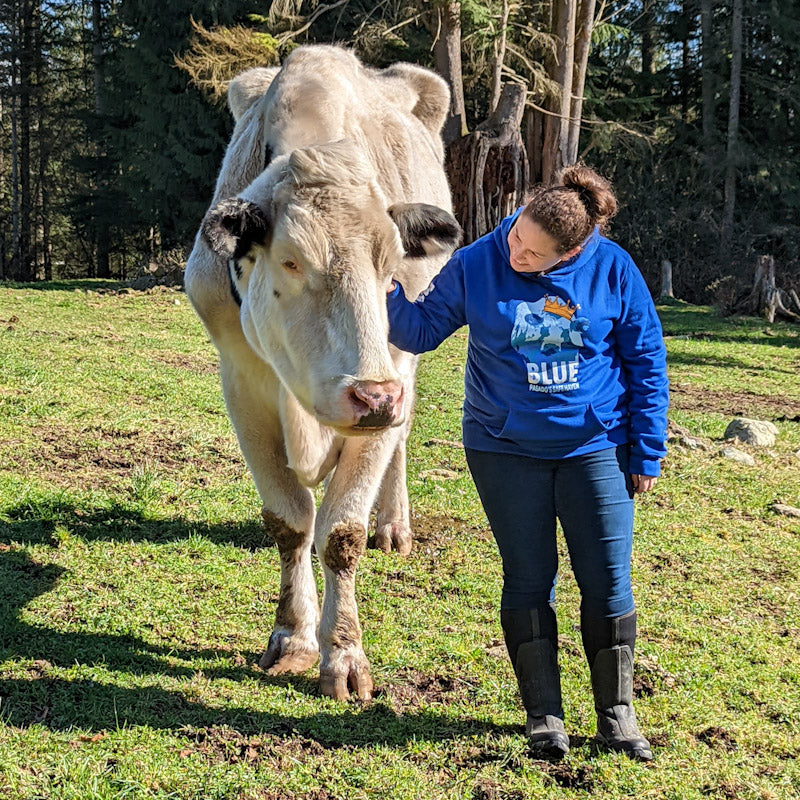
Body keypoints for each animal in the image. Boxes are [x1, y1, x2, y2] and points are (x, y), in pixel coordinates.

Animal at [184, 48, 460, 700]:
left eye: (391, 262)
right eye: (291, 261)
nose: (372, 397)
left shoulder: (392, 370)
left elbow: (341, 533)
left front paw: (344, 654)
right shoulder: (242, 384)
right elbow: (290, 522)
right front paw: (293, 637)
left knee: (399, 444)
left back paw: (394, 525)